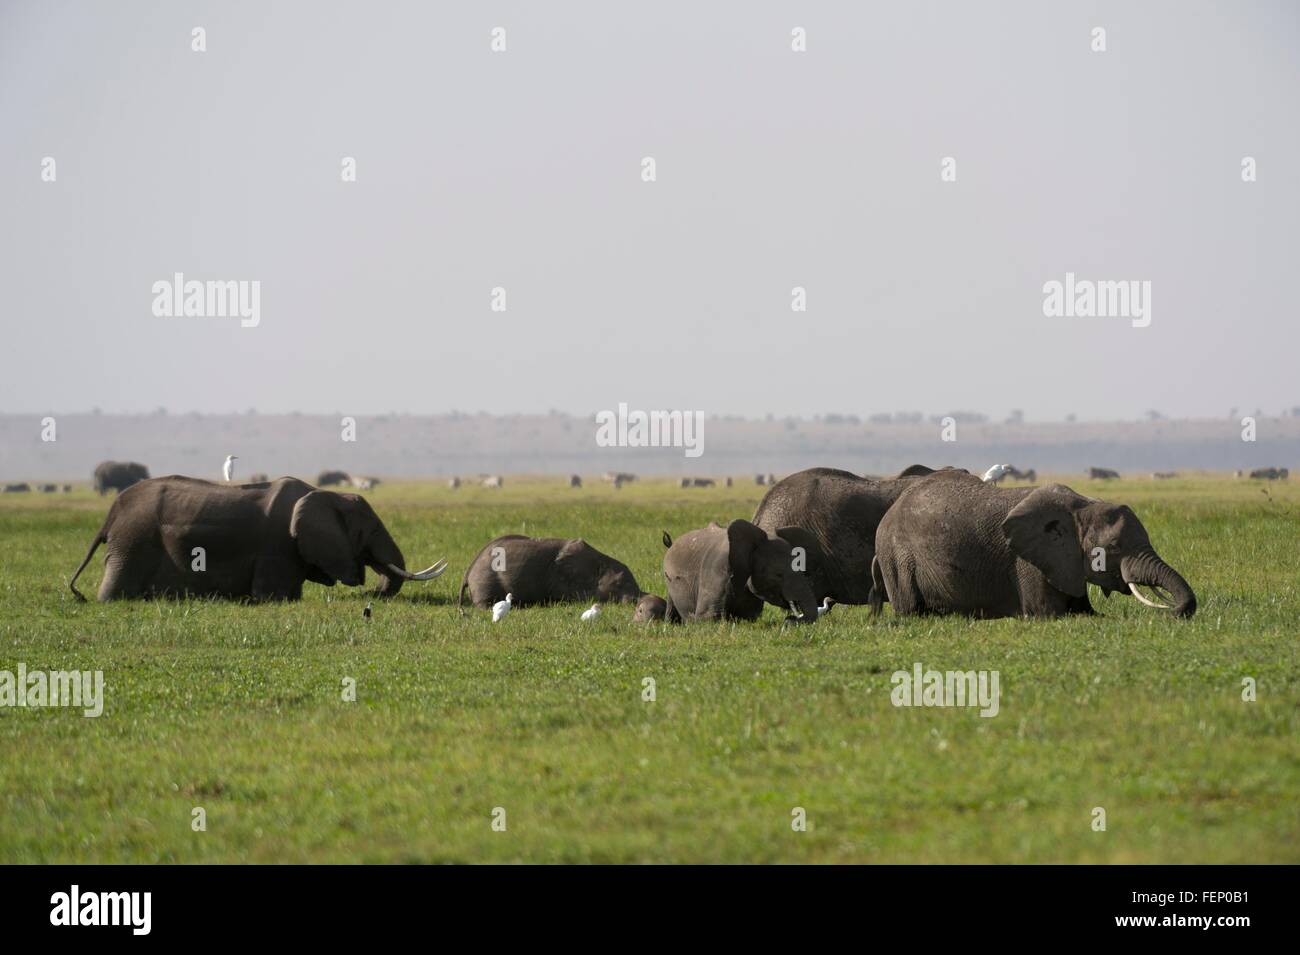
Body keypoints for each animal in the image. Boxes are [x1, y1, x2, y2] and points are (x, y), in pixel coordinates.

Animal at [69, 475, 447, 600]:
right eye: (368, 531)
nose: (371, 595)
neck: (325, 494)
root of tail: (110, 515)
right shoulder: (276, 547)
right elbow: (275, 597)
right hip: (133, 541)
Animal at [457, 535, 644, 608]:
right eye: (619, 583)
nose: (638, 601)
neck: (599, 560)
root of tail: (468, 572)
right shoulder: (562, 577)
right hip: (484, 580)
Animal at [873, 467, 1196, 621]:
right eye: (1114, 548)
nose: (1174, 613)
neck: (1081, 507)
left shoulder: (1065, 561)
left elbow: (1086, 613)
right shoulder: (1028, 561)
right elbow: (1048, 614)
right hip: (896, 556)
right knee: (910, 609)